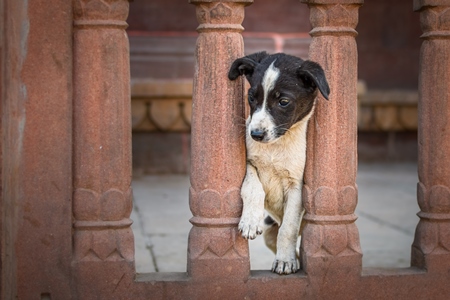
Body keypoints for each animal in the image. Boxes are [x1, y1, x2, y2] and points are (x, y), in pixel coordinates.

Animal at [229, 51, 330, 274]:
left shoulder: (296, 187)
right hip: (269, 231)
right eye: (251, 98)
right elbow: (253, 187)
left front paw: (285, 261)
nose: (255, 134)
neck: (276, 147)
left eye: (283, 101)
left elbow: (288, 228)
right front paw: (250, 220)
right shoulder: (249, 164)